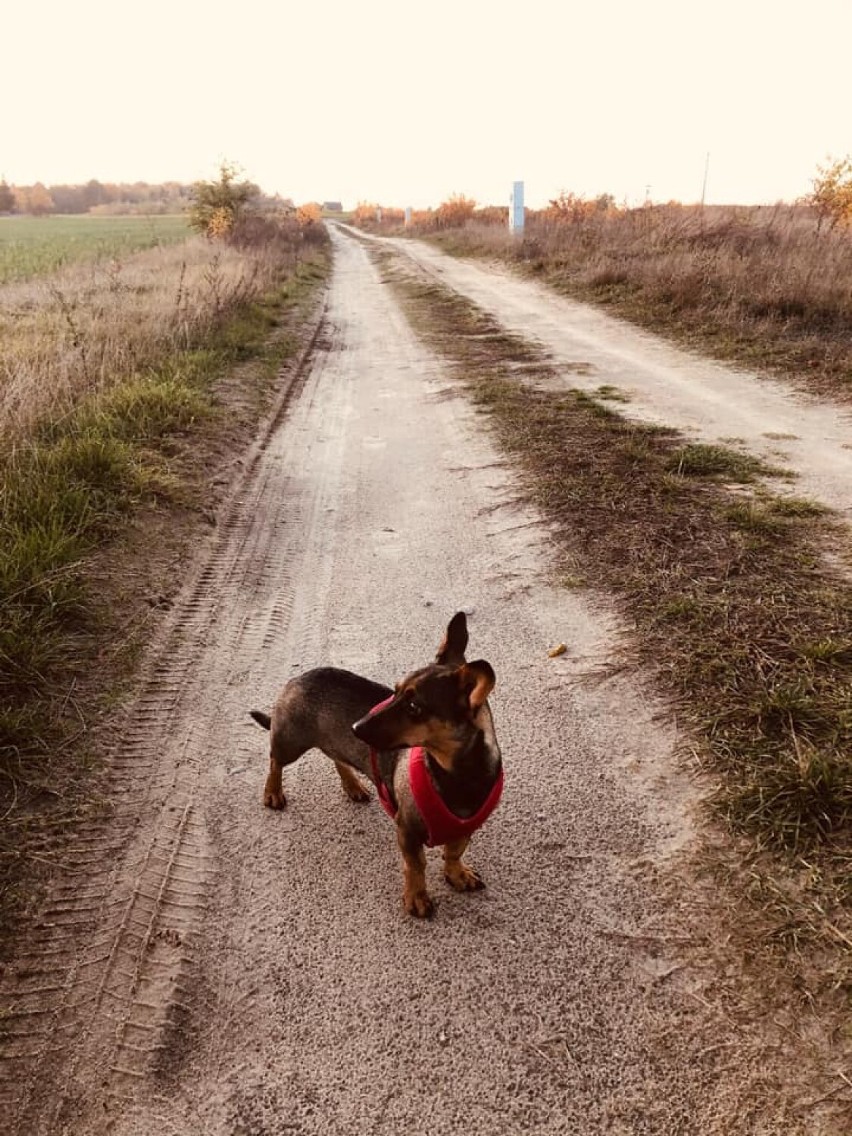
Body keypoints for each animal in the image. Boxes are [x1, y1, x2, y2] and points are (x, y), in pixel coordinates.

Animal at [249, 613, 504, 913]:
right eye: (394, 691)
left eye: (414, 706)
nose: (355, 727)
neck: (457, 776)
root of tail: (299, 677)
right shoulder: (406, 829)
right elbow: (416, 866)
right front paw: (417, 897)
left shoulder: (465, 829)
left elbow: (454, 852)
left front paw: (457, 875)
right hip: (290, 743)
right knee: (275, 761)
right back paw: (273, 792)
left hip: (331, 744)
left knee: (336, 757)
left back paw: (353, 786)